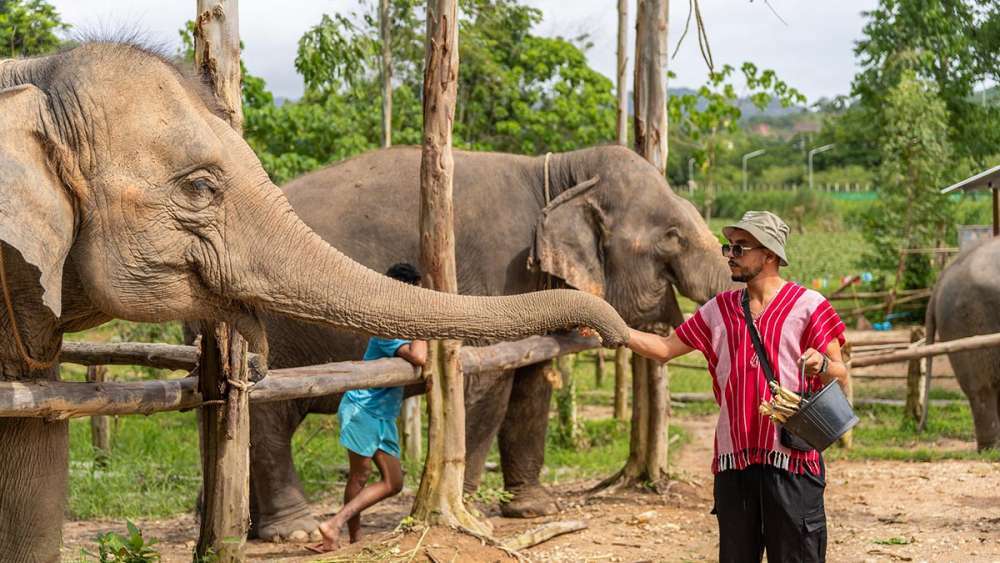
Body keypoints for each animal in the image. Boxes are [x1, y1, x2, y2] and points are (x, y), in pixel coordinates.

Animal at [250, 145, 736, 540]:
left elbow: (534, 384)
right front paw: (469, 513)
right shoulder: (494, 272)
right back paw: (294, 531)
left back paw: (256, 532)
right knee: (268, 417)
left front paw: (536, 509)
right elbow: (488, 386)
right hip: (272, 328)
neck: (558, 173)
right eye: (672, 236)